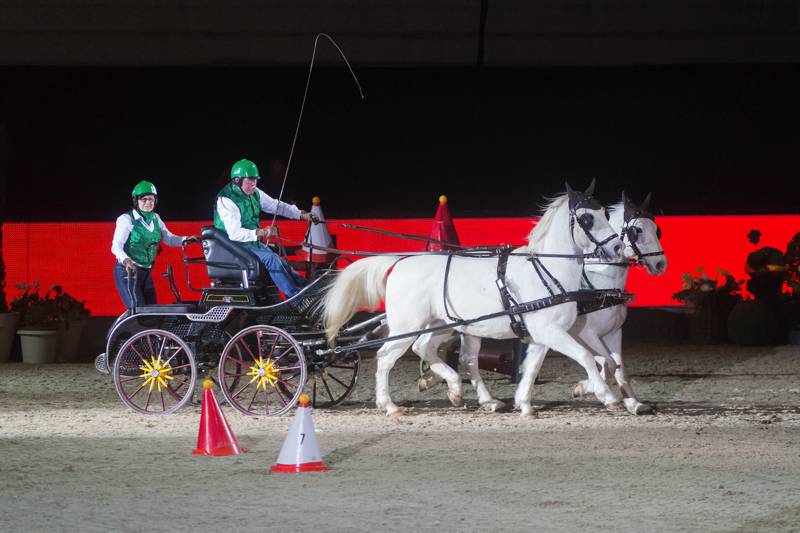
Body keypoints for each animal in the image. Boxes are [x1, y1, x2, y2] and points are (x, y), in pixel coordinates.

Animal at [324, 183, 624, 416]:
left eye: (604, 212)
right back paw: (389, 405)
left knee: (432, 350)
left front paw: (525, 404)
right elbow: (586, 357)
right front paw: (609, 398)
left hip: (442, 324)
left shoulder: (543, 334)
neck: (545, 269)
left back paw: (464, 392)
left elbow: (533, 368)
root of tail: (400, 262)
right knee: (385, 357)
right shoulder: (550, 331)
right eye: (586, 219)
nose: (617, 246)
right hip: (407, 327)